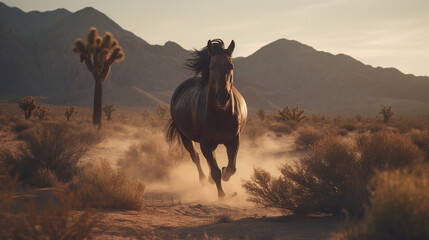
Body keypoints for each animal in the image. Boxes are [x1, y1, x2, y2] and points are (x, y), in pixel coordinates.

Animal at [167, 39, 247, 197]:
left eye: (231, 66)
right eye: (211, 66)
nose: (222, 97)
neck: (221, 115)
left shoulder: (234, 140)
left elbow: (232, 167)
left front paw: (225, 173)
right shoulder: (205, 144)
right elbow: (215, 171)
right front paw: (221, 195)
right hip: (185, 136)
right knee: (195, 157)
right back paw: (204, 179)